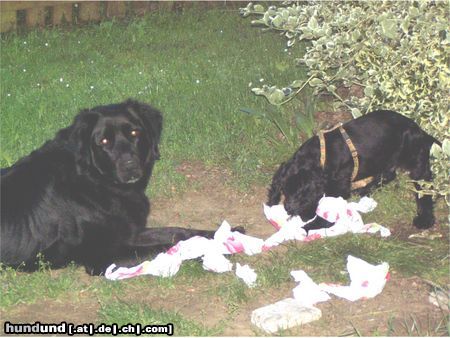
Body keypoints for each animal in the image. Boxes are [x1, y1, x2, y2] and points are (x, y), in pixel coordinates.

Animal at [0, 99, 236, 274]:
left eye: (134, 133)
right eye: (103, 142)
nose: (130, 166)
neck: (94, 180)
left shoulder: (129, 230)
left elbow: (176, 231)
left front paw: (227, 233)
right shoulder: (101, 256)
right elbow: (166, 247)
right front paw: (208, 249)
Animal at [268, 110, 440, 232]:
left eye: (302, 195)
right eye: (285, 191)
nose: (289, 209)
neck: (321, 156)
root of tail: (419, 130)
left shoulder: (338, 186)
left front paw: (310, 226)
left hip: (414, 159)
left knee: (423, 185)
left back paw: (425, 219)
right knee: (389, 174)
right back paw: (364, 189)